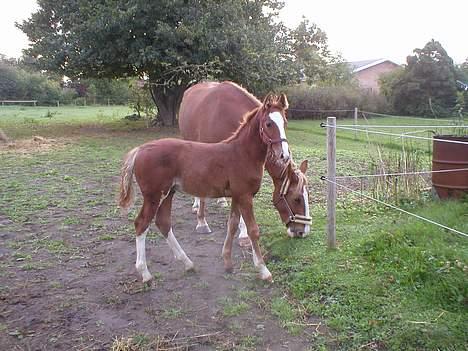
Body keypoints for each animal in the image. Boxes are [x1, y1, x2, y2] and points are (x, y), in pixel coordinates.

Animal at [120, 95, 294, 282]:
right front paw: (263, 270)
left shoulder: (237, 196)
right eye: (268, 123)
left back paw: (188, 263)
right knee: (141, 224)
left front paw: (228, 263)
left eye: (284, 122)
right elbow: (253, 230)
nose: (284, 155)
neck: (242, 153)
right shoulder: (245, 196)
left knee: (163, 222)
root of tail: (139, 150)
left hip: (168, 193)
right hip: (154, 196)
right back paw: (145, 273)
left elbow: (232, 225)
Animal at [179, 81, 310, 243]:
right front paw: (202, 222)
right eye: (296, 199)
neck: (224, 115)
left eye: (285, 123)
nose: (303, 232)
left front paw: (243, 232)